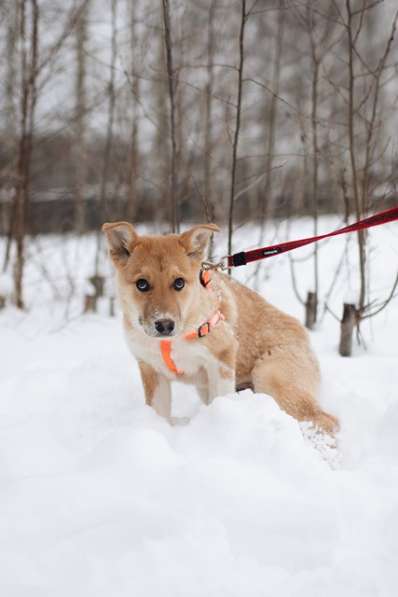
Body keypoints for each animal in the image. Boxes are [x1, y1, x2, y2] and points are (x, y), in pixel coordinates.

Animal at [103, 220, 338, 434]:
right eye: (142, 284)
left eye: (179, 283)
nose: (165, 325)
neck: (171, 341)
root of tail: (303, 333)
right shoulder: (152, 370)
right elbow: (159, 414)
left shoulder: (222, 359)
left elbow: (222, 398)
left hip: (271, 376)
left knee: (325, 420)